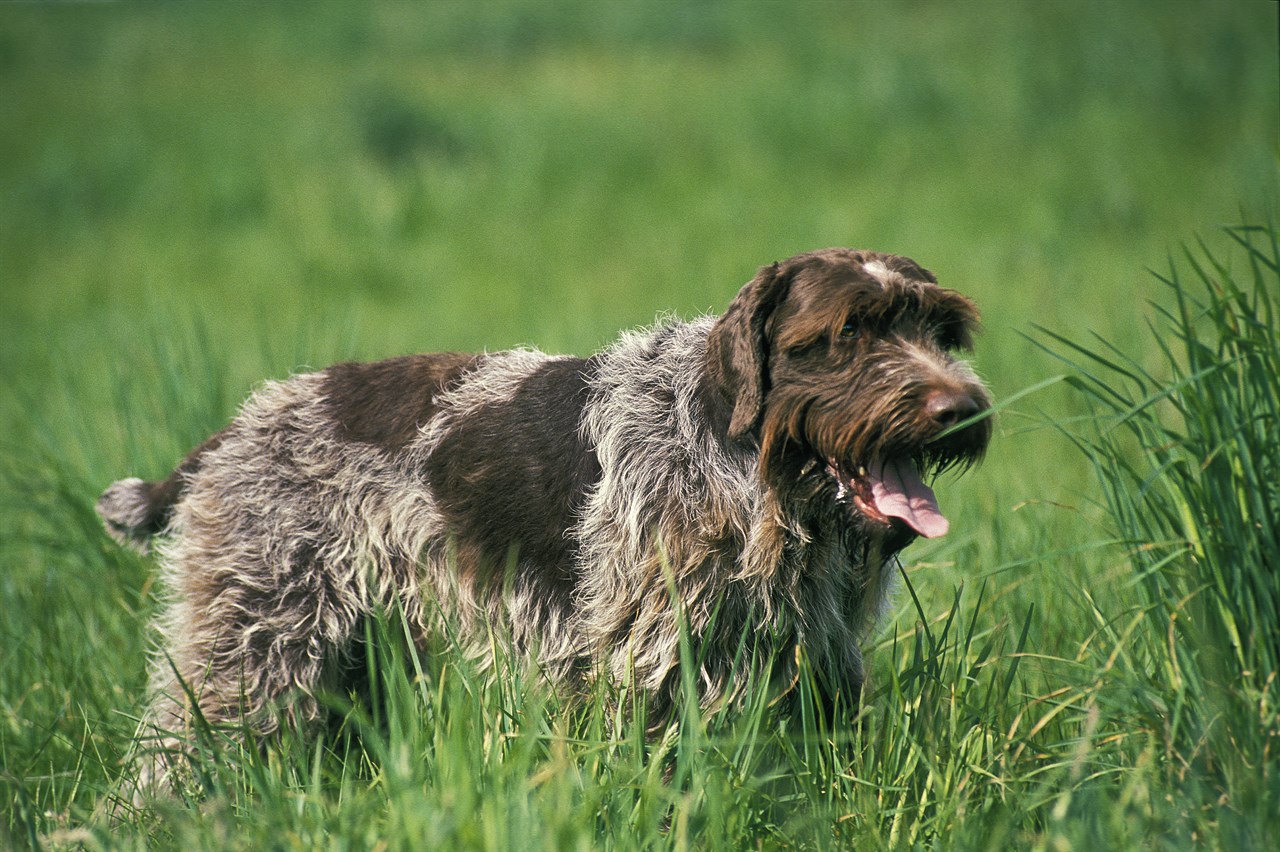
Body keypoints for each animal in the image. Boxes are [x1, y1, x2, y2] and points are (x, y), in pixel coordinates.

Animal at [99, 245, 993, 788]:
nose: (962, 411)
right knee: (172, 758)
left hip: (354, 653)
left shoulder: (809, 655)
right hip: (252, 648)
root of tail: (233, 431)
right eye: (847, 332)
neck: (745, 466)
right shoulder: (654, 668)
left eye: (940, 329)